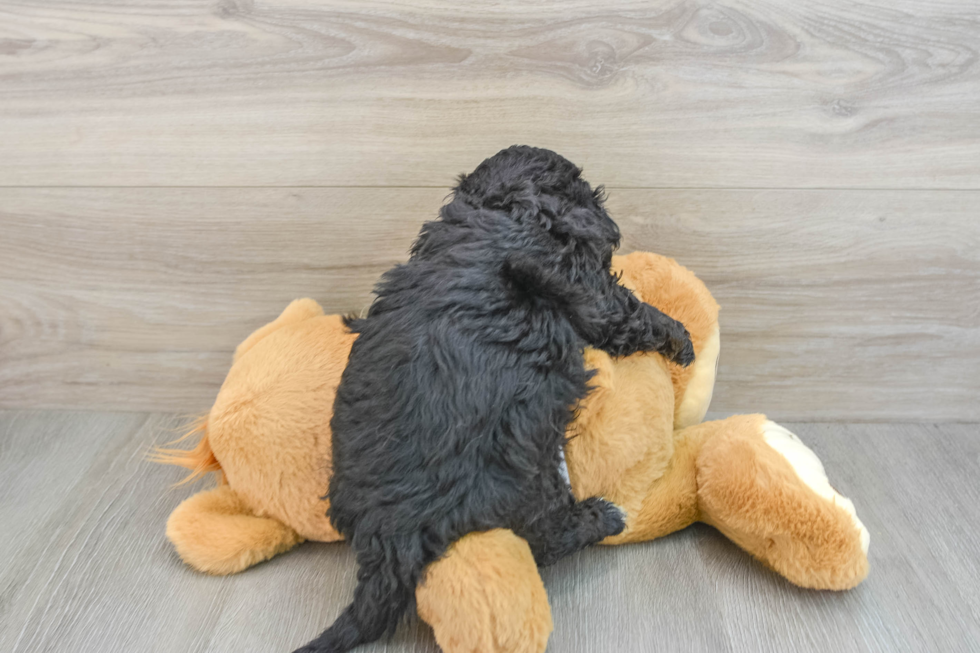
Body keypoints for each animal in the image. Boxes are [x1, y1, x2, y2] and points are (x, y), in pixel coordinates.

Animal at [294, 148, 692, 652]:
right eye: (583, 188)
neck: (500, 208)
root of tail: (390, 545)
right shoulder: (583, 288)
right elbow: (627, 312)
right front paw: (683, 339)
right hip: (523, 468)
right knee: (544, 538)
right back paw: (603, 516)